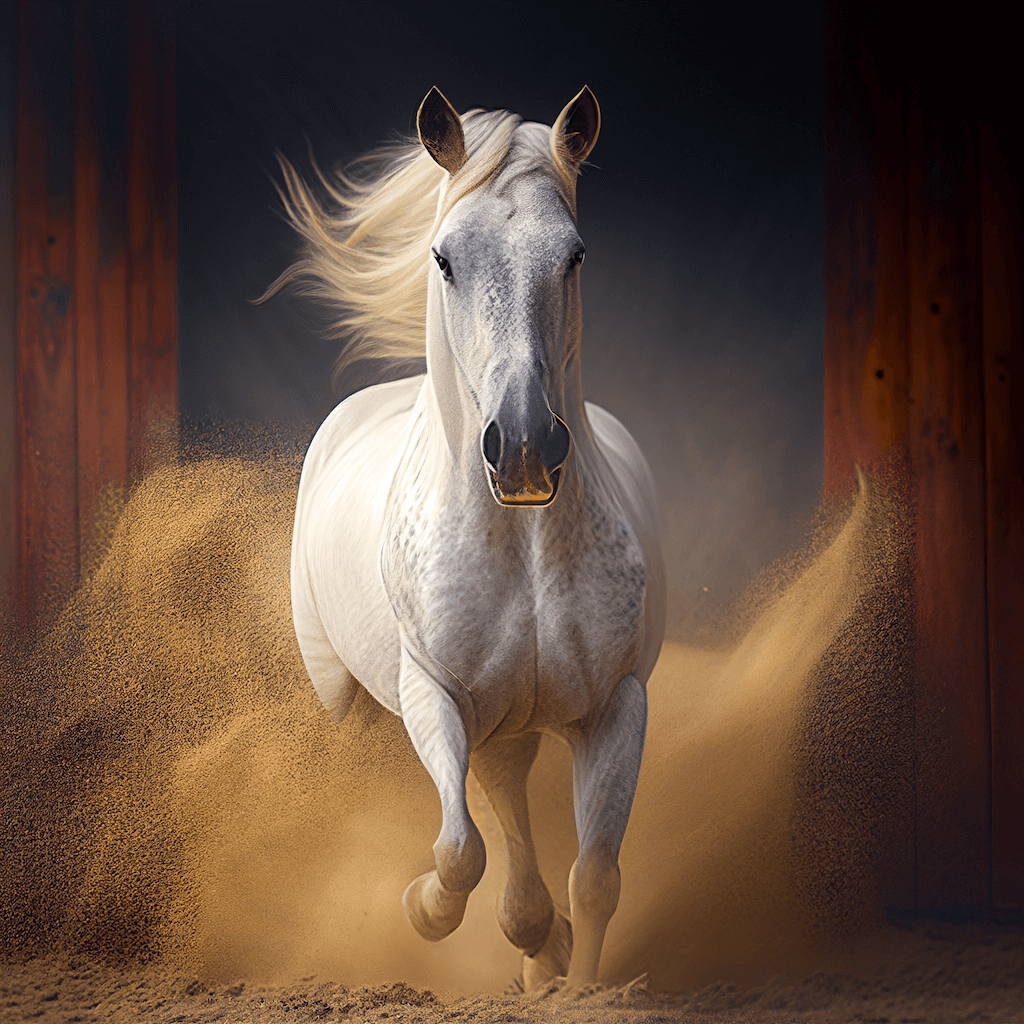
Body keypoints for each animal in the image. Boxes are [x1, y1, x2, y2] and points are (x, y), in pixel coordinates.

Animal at [276, 88, 667, 991]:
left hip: (514, 726)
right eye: (445, 258)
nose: (523, 448)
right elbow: (460, 850)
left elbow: (595, 877)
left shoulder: (617, 706)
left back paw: (540, 948)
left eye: (574, 255)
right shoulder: (434, 695)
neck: (523, 546)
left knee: (514, 811)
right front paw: (422, 909)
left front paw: (575, 982)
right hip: (347, 699)